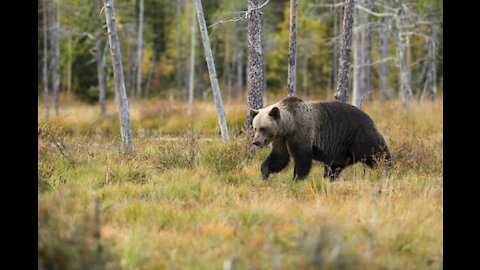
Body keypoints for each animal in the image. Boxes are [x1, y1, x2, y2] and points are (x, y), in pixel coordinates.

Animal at [249, 96, 392, 180]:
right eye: (255, 127)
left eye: (263, 128)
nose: (256, 142)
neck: (289, 126)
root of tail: (370, 118)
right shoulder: (281, 139)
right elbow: (279, 157)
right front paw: (264, 173)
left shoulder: (302, 132)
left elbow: (302, 158)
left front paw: (297, 178)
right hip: (341, 151)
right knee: (334, 167)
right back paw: (330, 178)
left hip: (360, 136)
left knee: (378, 154)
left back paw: (387, 169)